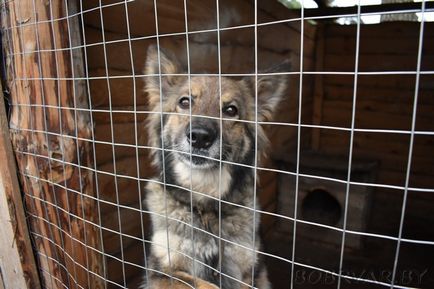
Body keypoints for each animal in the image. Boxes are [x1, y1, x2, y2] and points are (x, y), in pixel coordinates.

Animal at [142, 45, 288, 288]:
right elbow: (199, 283)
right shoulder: (161, 271)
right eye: (184, 102)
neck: (205, 208)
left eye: (230, 110)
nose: (200, 137)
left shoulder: (246, 270)